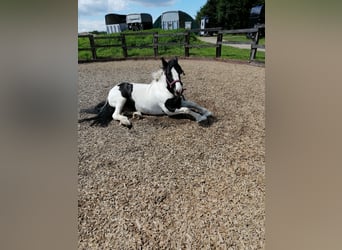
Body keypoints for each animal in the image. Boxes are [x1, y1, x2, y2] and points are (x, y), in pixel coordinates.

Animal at [80, 57, 212, 129]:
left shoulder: (179, 102)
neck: (165, 90)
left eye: (180, 72)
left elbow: (193, 104)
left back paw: (137, 114)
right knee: (115, 114)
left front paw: (207, 113)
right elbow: (187, 109)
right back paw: (126, 121)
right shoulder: (169, 110)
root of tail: (112, 91)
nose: (179, 90)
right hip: (121, 99)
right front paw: (200, 118)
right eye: (168, 73)